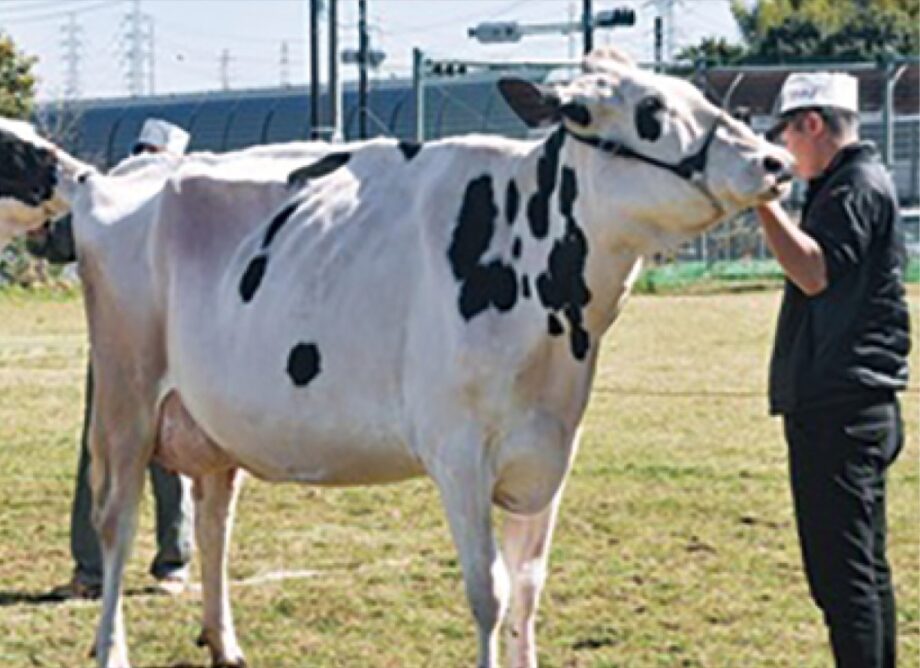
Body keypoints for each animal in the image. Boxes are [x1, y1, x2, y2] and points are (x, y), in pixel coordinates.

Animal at [0, 48, 792, 668]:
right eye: (652, 108)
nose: (775, 159)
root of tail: (107, 181)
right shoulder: (459, 451)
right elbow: (489, 593)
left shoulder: (551, 451)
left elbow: (529, 588)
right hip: (125, 401)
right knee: (117, 523)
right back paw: (113, 650)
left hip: (211, 418)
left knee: (213, 514)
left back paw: (224, 642)